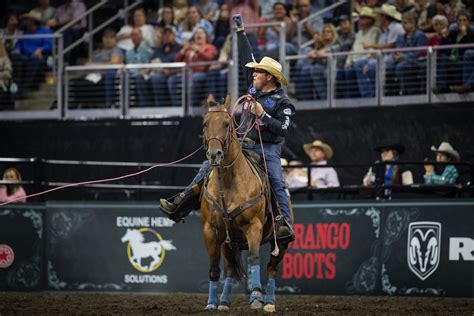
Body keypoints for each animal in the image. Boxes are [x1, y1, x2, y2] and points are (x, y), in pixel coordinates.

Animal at [199, 95, 290, 312]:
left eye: (226, 124)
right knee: (231, 269)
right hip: (229, 242)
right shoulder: (211, 230)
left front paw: (256, 296)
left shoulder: (253, 226)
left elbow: (254, 258)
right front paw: (211, 303)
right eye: (205, 123)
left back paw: (269, 302)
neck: (228, 183)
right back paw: (223, 301)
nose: (214, 154)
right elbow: (214, 268)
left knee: (272, 268)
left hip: (281, 243)